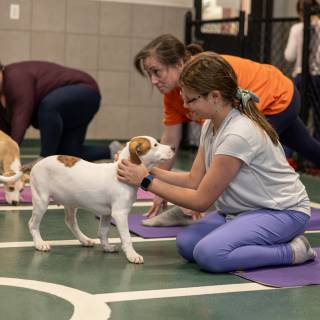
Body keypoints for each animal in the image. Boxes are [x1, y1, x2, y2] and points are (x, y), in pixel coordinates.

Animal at [28, 136, 175, 264]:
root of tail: (36, 164)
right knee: (33, 224)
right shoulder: (120, 213)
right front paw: (132, 255)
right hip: (41, 200)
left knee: (70, 222)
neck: (119, 172)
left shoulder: (106, 214)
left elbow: (103, 232)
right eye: (155, 145)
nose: (173, 147)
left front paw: (107, 247)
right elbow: (126, 237)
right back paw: (39, 243)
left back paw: (85, 240)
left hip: (71, 202)